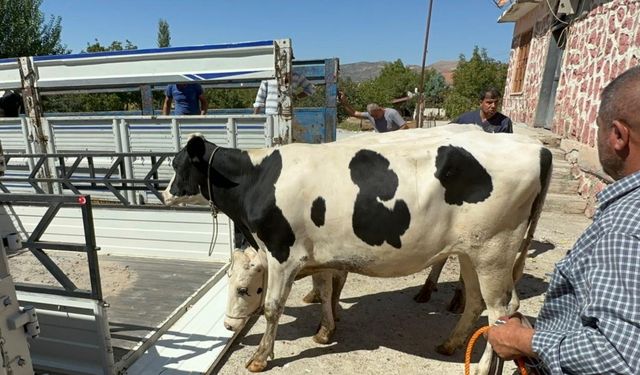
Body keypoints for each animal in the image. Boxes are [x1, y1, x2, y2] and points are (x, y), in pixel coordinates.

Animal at [162, 125, 552, 374]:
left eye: (178, 165)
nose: (163, 192)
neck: (258, 179)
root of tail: (536, 147)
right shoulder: (316, 254)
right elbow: (324, 289)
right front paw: (325, 331)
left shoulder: (282, 253)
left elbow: (273, 308)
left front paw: (261, 357)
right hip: (472, 253)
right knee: (476, 302)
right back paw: (450, 344)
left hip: (494, 252)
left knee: (502, 311)